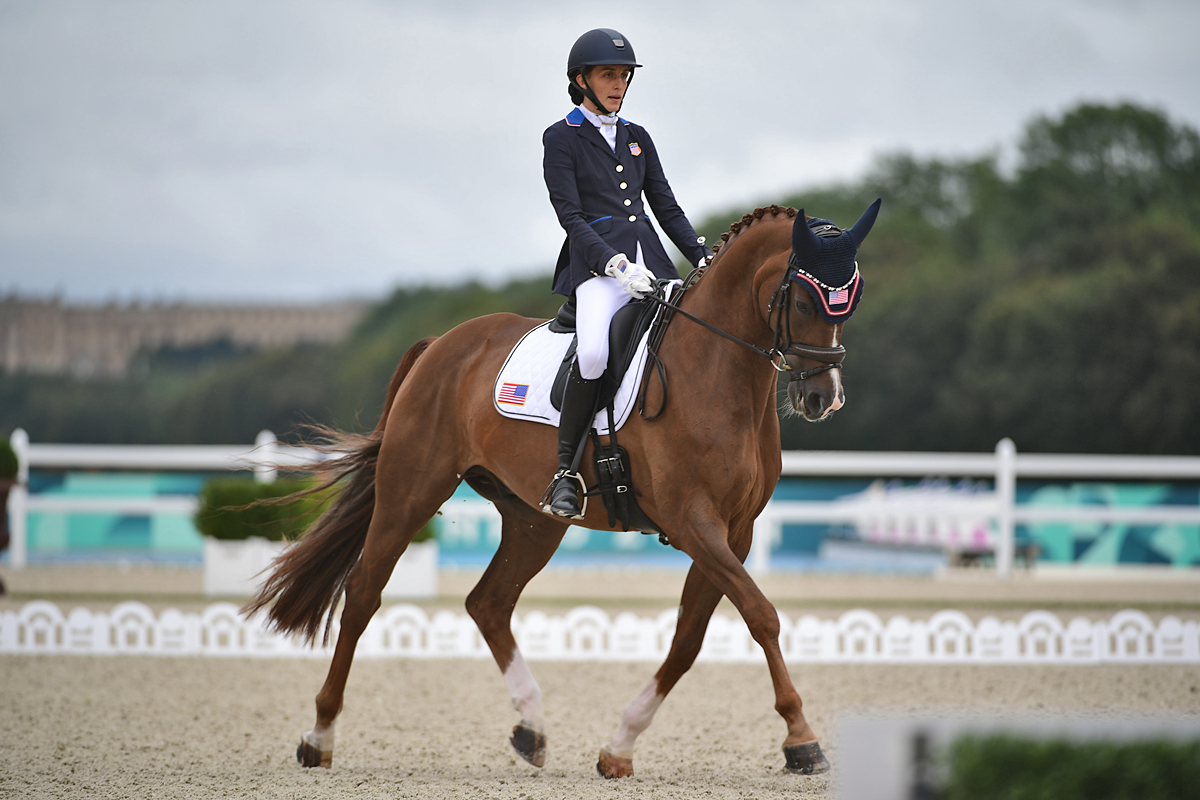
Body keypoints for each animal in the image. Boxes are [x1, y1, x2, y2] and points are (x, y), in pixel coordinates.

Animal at [243, 200, 883, 782]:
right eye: (803, 301)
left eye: (851, 300)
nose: (823, 397)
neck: (717, 371)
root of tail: (442, 343)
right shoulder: (693, 523)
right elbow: (761, 615)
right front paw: (802, 740)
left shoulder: (735, 531)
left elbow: (689, 639)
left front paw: (620, 746)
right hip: (410, 493)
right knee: (363, 595)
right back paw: (319, 736)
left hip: (535, 518)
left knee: (489, 602)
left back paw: (531, 728)